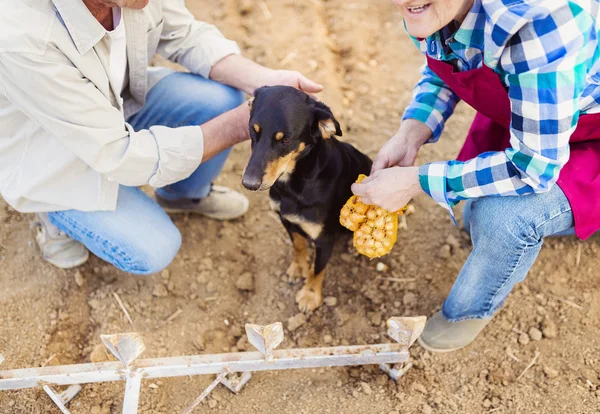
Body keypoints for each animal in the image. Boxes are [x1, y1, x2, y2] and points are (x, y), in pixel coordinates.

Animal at [241, 85, 372, 310]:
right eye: (253, 130)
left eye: (285, 140)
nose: (249, 183)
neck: (294, 186)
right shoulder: (287, 220)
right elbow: (298, 245)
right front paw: (298, 268)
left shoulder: (325, 239)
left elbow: (318, 269)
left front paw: (310, 296)